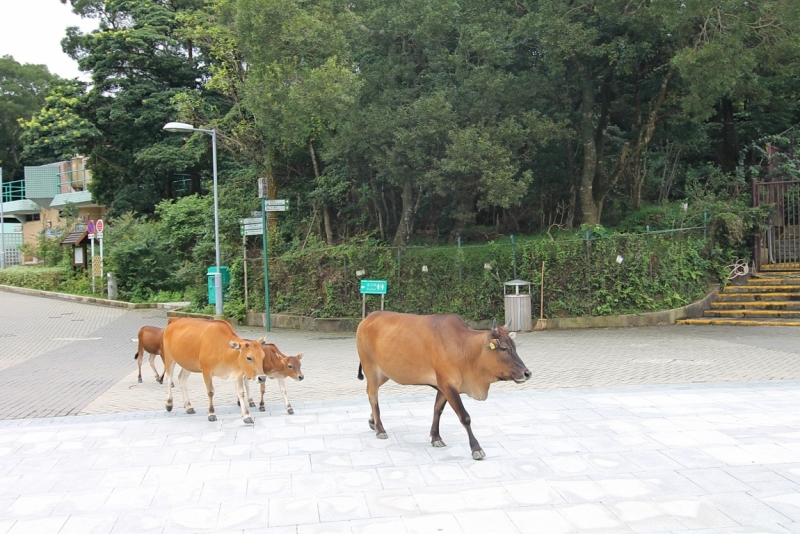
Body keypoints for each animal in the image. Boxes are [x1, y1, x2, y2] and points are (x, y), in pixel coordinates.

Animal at [356, 314, 532, 460]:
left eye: (514, 346)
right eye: (503, 348)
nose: (527, 373)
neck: (464, 348)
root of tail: (367, 318)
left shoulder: (443, 386)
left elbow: (437, 410)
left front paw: (436, 437)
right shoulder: (448, 384)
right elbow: (464, 417)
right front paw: (476, 448)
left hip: (383, 373)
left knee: (369, 391)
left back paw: (372, 421)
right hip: (371, 368)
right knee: (373, 395)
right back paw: (380, 429)